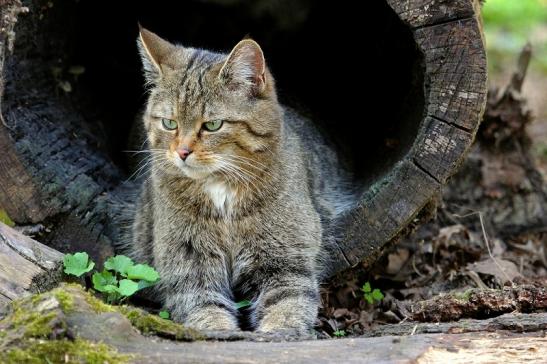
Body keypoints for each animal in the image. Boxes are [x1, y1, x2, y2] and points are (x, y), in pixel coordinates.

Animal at [125, 27, 352, 336]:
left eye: (212, 125)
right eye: (169, 123)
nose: (182, 152)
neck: (221, 189)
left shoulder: (286, 261)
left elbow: (289, 304)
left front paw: (279, 331)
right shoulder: (188, 267)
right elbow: (204, 309)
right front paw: (220, 331)